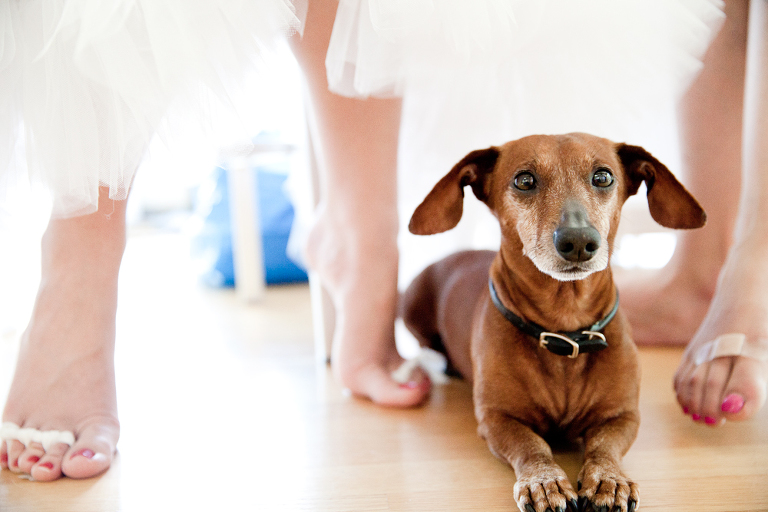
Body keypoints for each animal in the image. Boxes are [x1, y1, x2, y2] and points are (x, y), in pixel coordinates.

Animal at [402, 133, 708, 512]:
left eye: (603, 177)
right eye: (524, 180)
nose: (578, 241)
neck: (564, 329)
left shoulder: (623, 415)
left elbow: (605, 446)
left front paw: (609, 480)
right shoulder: (497, 419)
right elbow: (531, 446)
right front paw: (544, 482)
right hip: (411, 306)